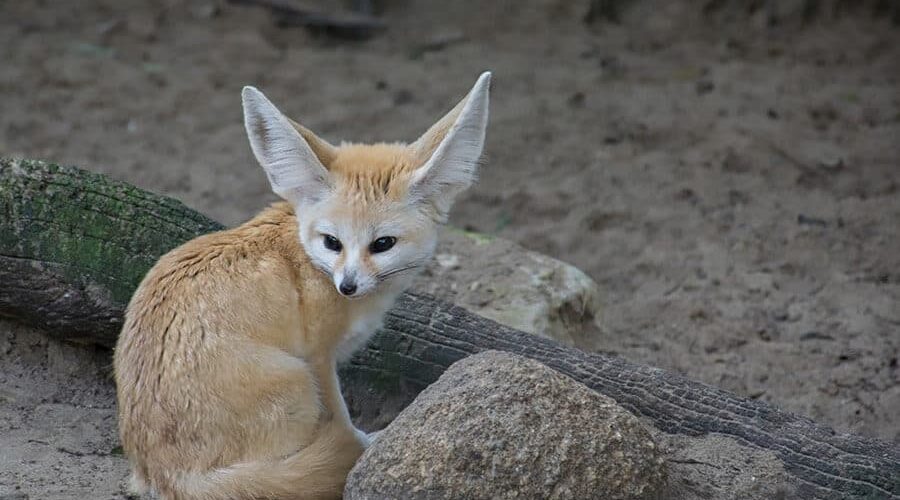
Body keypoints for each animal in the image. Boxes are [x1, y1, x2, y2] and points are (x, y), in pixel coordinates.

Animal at [114, 71, 492, 500]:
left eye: (383, 244)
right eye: (332, 242)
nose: (347, 286)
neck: (306, 250)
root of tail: (165, 474)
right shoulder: (319, 357)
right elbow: (344, 421)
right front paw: (365, 446)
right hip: (297, 382)